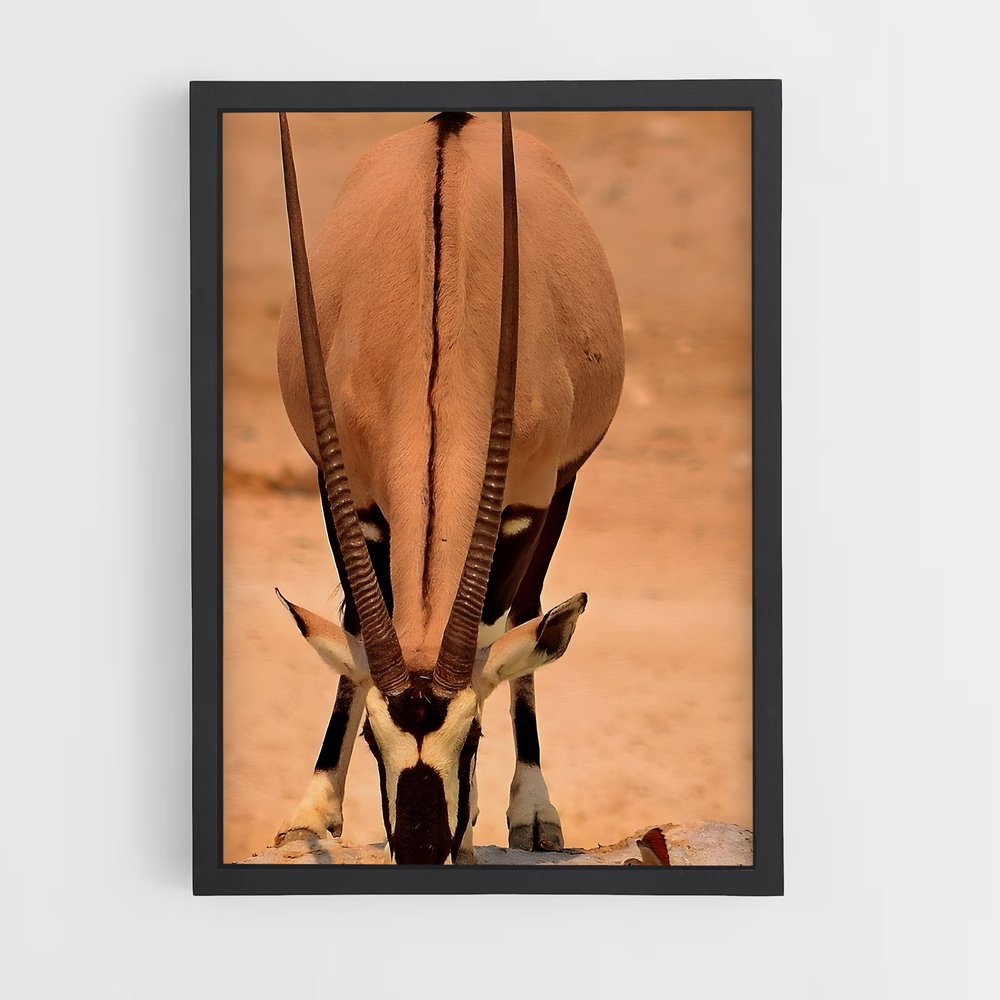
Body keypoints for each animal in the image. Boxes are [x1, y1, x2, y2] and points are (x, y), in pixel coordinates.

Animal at [272, 110, 624, 864]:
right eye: (374, 738)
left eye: (474, 735)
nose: (423, 847)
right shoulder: (349, 494)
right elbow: (353, 626)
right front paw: (312, 812)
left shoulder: (530, 502)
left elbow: (503, 632)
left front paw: (497, 821)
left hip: (562, 488)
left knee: (531, 609)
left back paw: (533, 811)